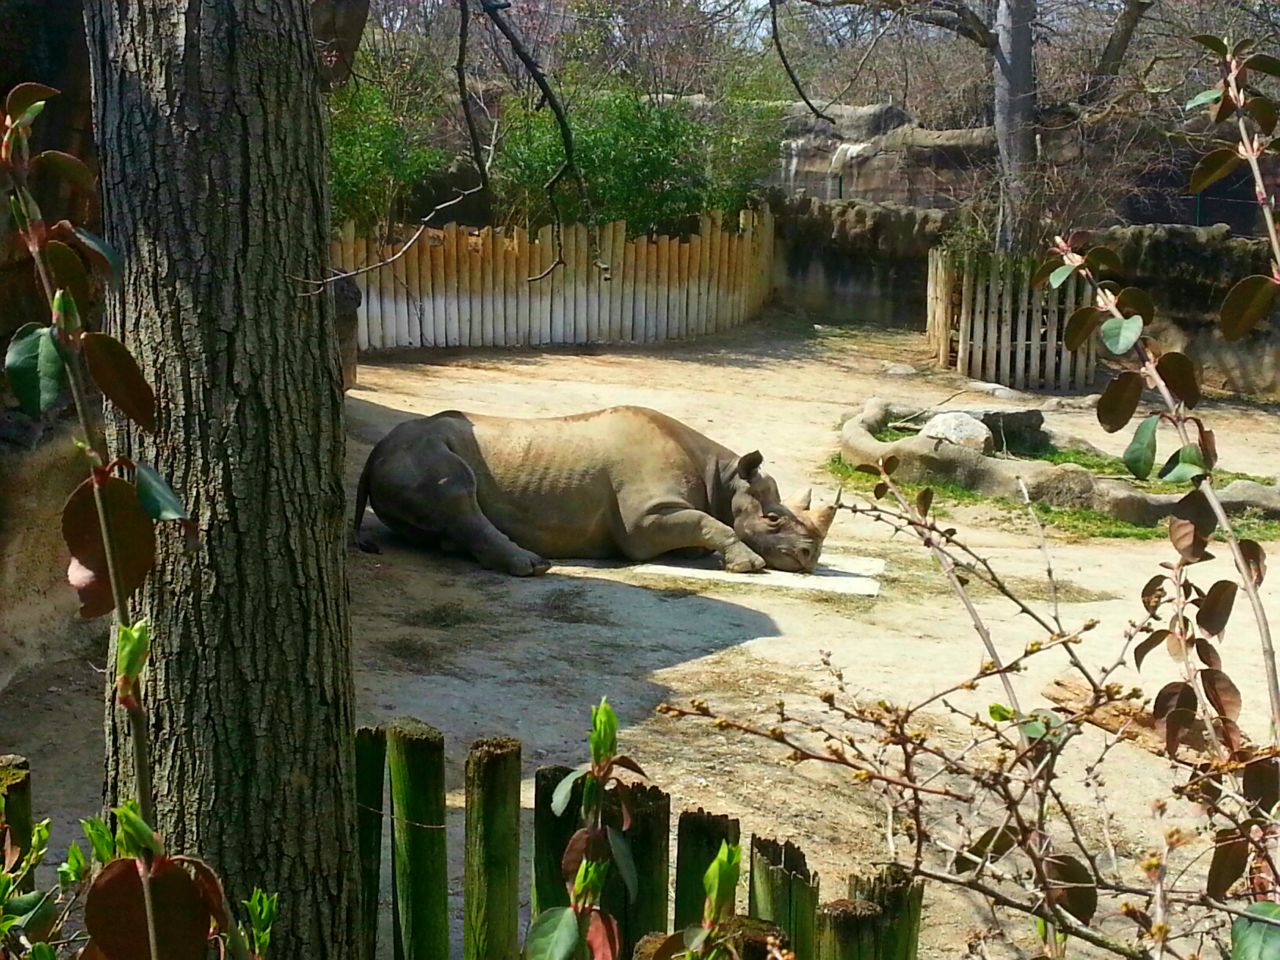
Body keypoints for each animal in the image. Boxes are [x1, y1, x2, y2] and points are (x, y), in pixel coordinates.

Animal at [353, 406, 836, 576]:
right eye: (772, 518)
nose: (810, 557)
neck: (725, 476)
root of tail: (375, 452)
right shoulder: (644, 519)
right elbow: (708, 522)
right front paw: (749, 565)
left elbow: (705, 525)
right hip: (419, 451)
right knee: (457, 490)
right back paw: (534, 567)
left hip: (406, 455)